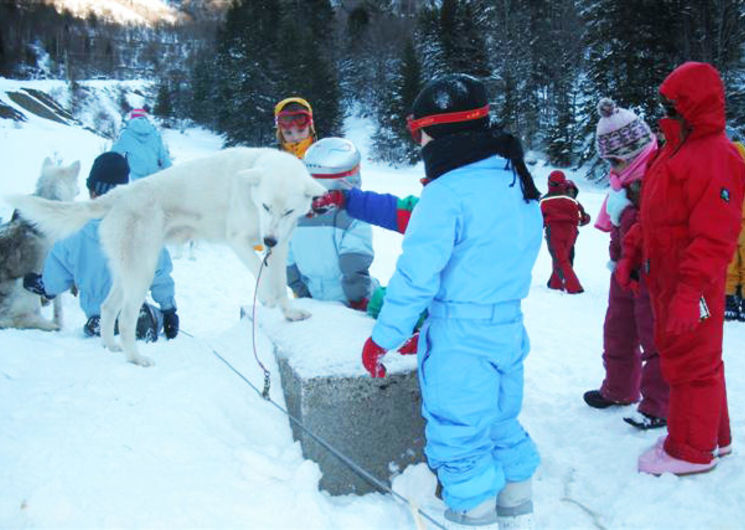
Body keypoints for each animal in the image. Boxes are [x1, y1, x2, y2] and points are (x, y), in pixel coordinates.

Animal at [5, 146, 326, 366]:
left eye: (287, 211)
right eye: (265, 206)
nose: (268, 239)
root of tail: (119, 194)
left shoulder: (281, 244)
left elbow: (280, 281)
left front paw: (289, 312)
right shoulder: (238, 240)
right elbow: (265, 273)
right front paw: (268, 297)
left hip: (127, 273)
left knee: (108, 309)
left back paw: (111, 347)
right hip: (142, 272)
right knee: (126, 320)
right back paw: (136, 359)